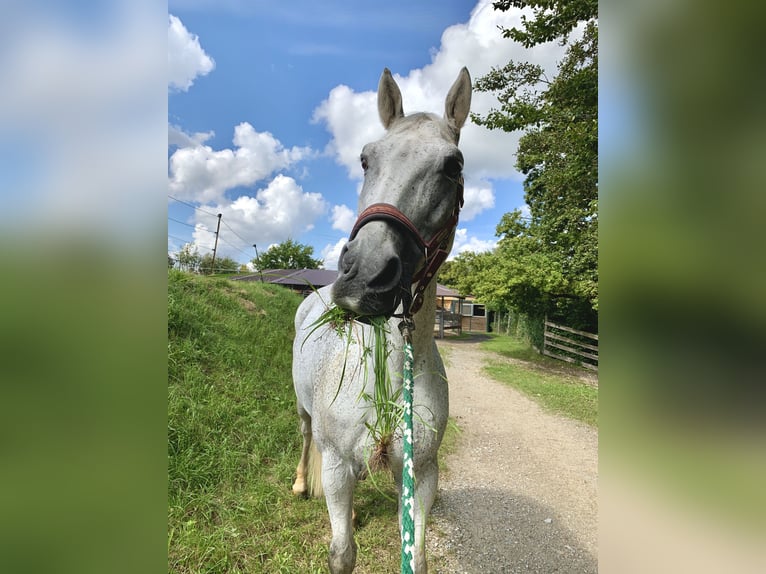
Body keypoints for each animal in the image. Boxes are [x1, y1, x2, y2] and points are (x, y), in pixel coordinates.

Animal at [294, 68, 474, 574]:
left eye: (452, 166)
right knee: (305, 439)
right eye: (364, 159)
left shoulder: (421, 475)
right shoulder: (337, 465)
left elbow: (416, 556)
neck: (391, 375)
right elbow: (342, 554)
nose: (365, 276)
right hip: (305, 416)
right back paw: (300, 483)